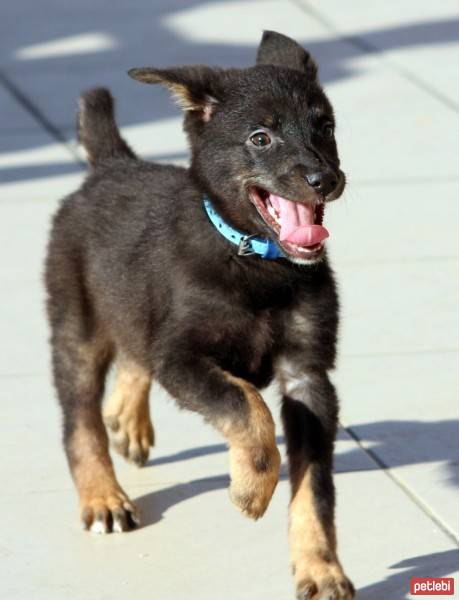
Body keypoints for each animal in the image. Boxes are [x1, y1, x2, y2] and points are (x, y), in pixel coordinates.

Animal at [45, 31, 356, 600]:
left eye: (325, 128)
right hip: (77, 325)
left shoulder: (308, 376)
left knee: (134, 351)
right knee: (80, 419)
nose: (325, 179)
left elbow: (315, 488)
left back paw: (127, 420)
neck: (255, 261)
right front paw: (253, 488)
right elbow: (245, 405)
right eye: (260, 138)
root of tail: (111, 164)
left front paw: (321, 568)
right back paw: (103, 496)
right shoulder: (181, 357)